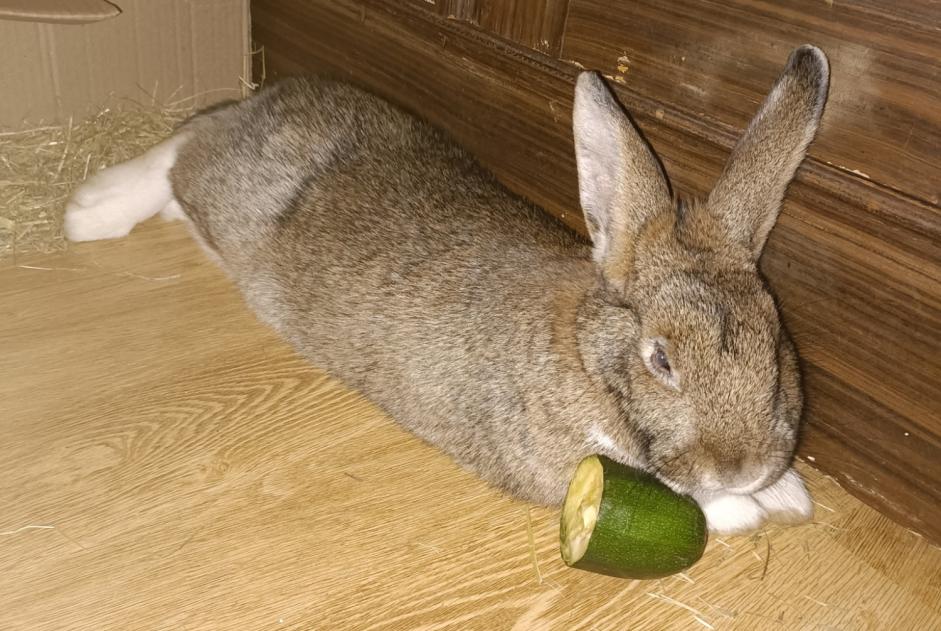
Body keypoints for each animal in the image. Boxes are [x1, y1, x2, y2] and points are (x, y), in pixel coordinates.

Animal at [64, 47, 828, 536]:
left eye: (777, 350)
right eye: (660, 360)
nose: (741, 465)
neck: (583, 355)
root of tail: (267, 96)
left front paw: (783, 490)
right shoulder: (560, 462)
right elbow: (676, 494)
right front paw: (751, 507)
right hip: (226, 189)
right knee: (182, 147)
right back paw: (88, 211)